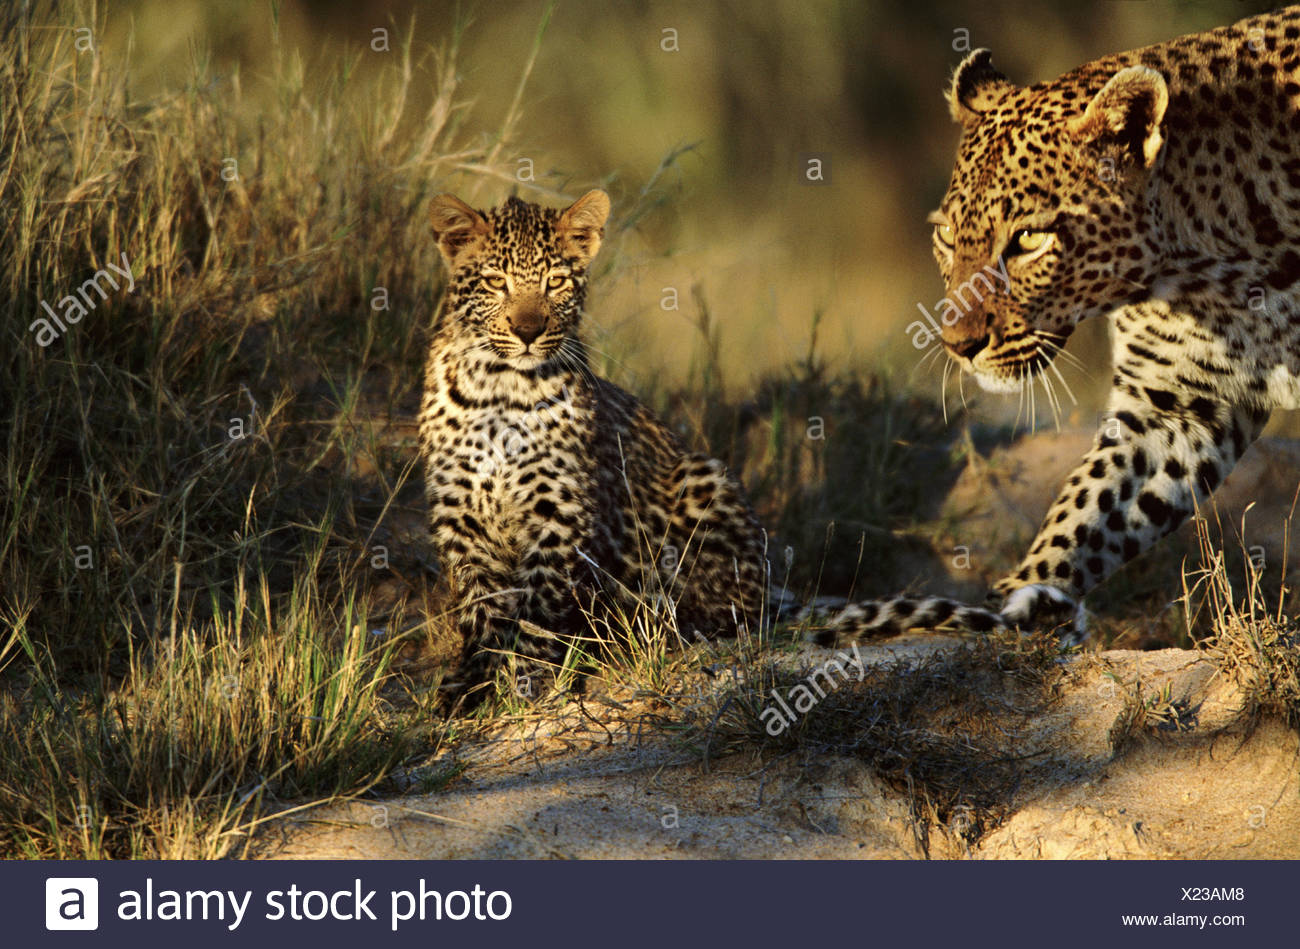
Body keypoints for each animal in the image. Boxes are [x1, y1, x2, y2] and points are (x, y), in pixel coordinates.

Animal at [419, 190, 1003, 704]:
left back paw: (644, 620)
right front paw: (471, 681)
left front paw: (527, 676)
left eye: (556, 282)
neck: (499, 388)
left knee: (723, 612)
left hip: (705, 477)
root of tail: (775, 594)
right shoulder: (461, 518)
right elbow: (482, 609)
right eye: (495, 283)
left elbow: (539, 605)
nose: (527, 332)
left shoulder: (557, 512)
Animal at [929, 5, 1300, 637]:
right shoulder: (1175, 405)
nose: (959, 344)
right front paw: (1024, 598)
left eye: (1028, 239)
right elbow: (1090, 504)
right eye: (947, 236)